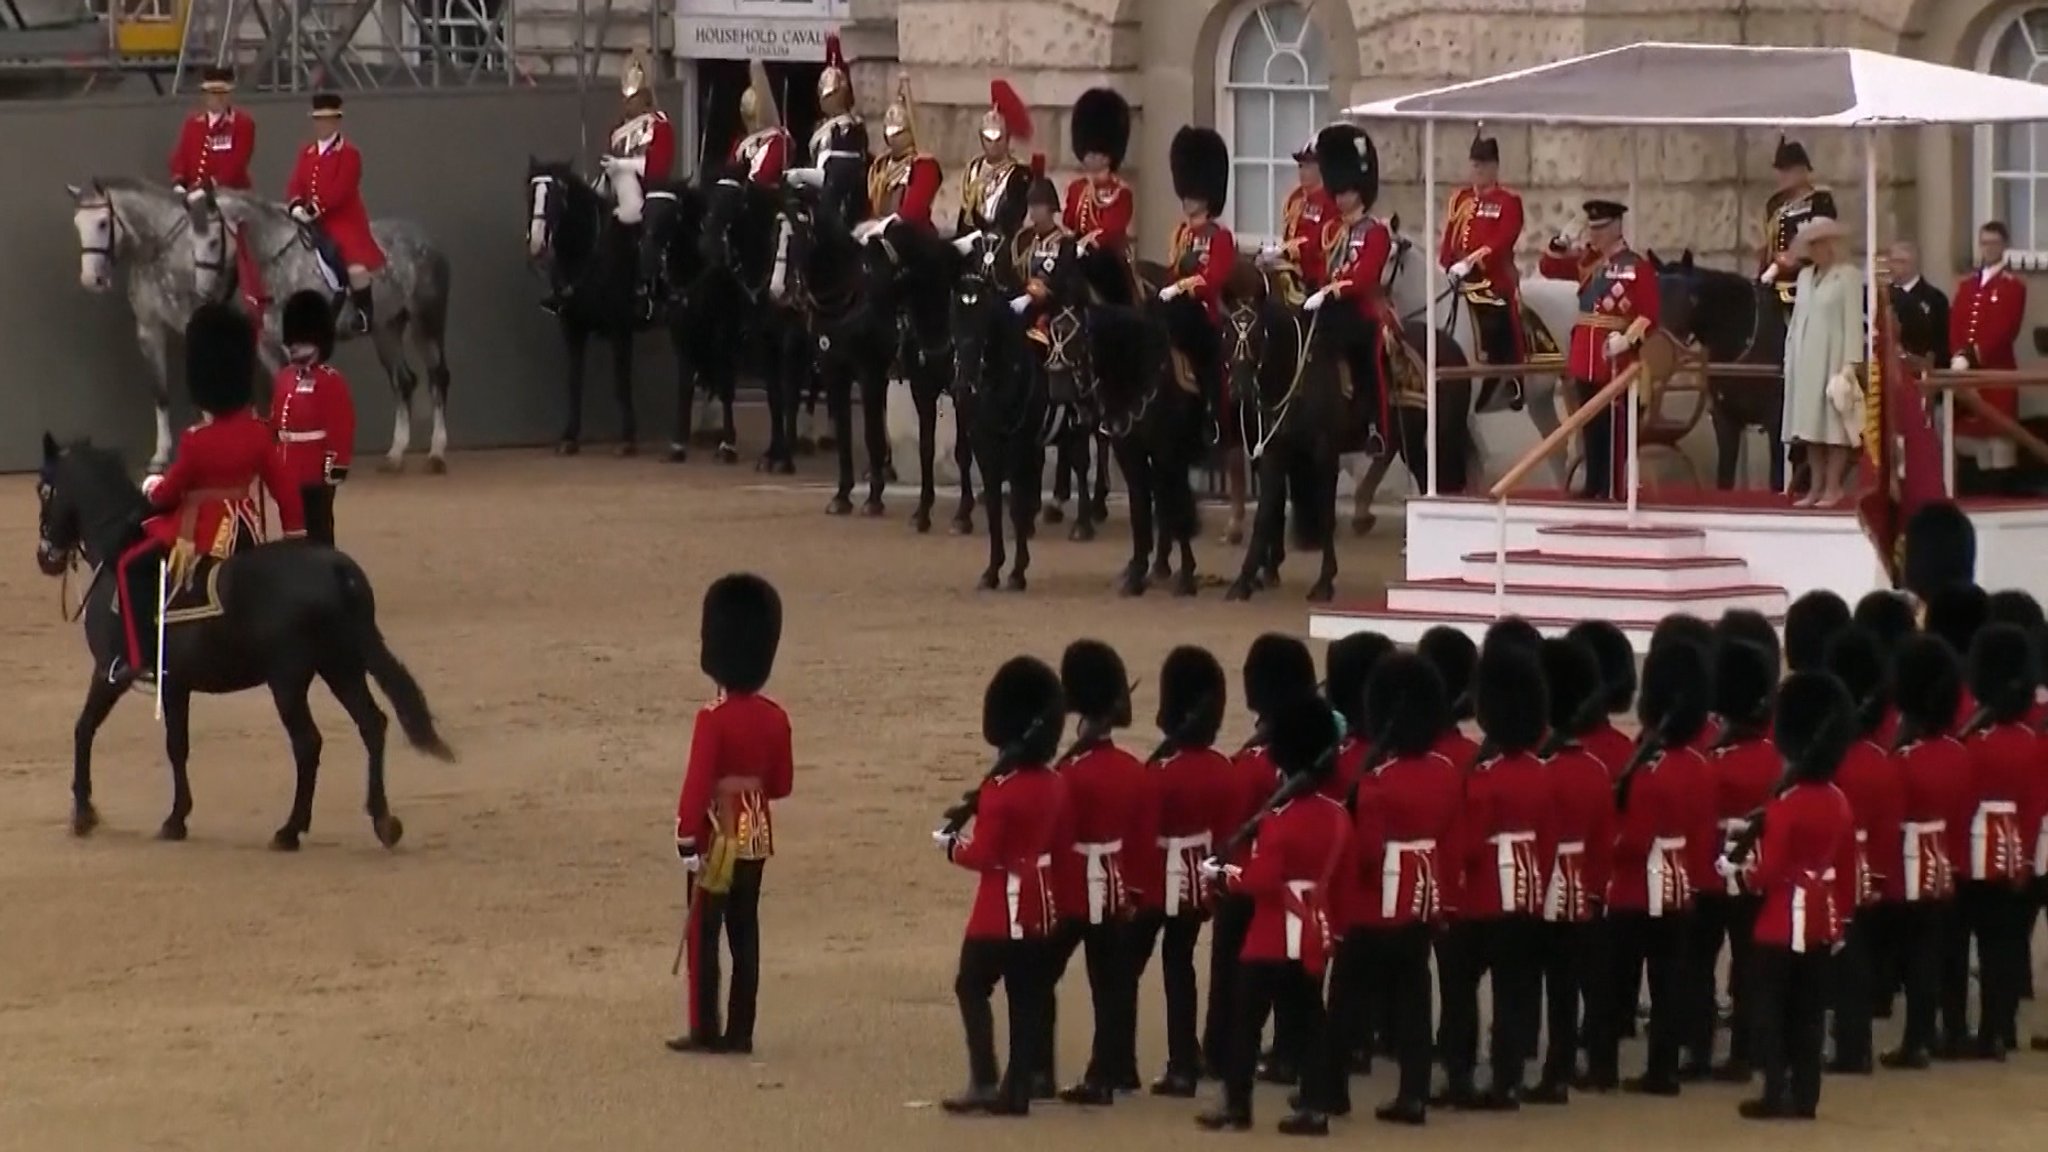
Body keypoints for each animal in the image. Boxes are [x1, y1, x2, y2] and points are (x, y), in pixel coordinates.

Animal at [35, 434, 452, 848]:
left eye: (44, 490)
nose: (45, 557)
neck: (118, 549)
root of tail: (336, 567)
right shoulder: (175, 684)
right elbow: (177, 745)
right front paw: (176, 818)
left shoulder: (111, 672)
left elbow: (86, 728)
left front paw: (86, 813)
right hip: (341, 667)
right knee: (371, 724)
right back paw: (383, 821)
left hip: (289, 680)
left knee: (308, 743)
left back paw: (290, 830)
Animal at [524, 158, 651, 455]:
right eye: (530, 192)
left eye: (557, 195)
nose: (536, 243)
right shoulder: (573, 328)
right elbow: (574, 381)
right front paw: (569, 437)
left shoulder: (620, 328)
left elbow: (621, 381)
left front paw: (628, 439)